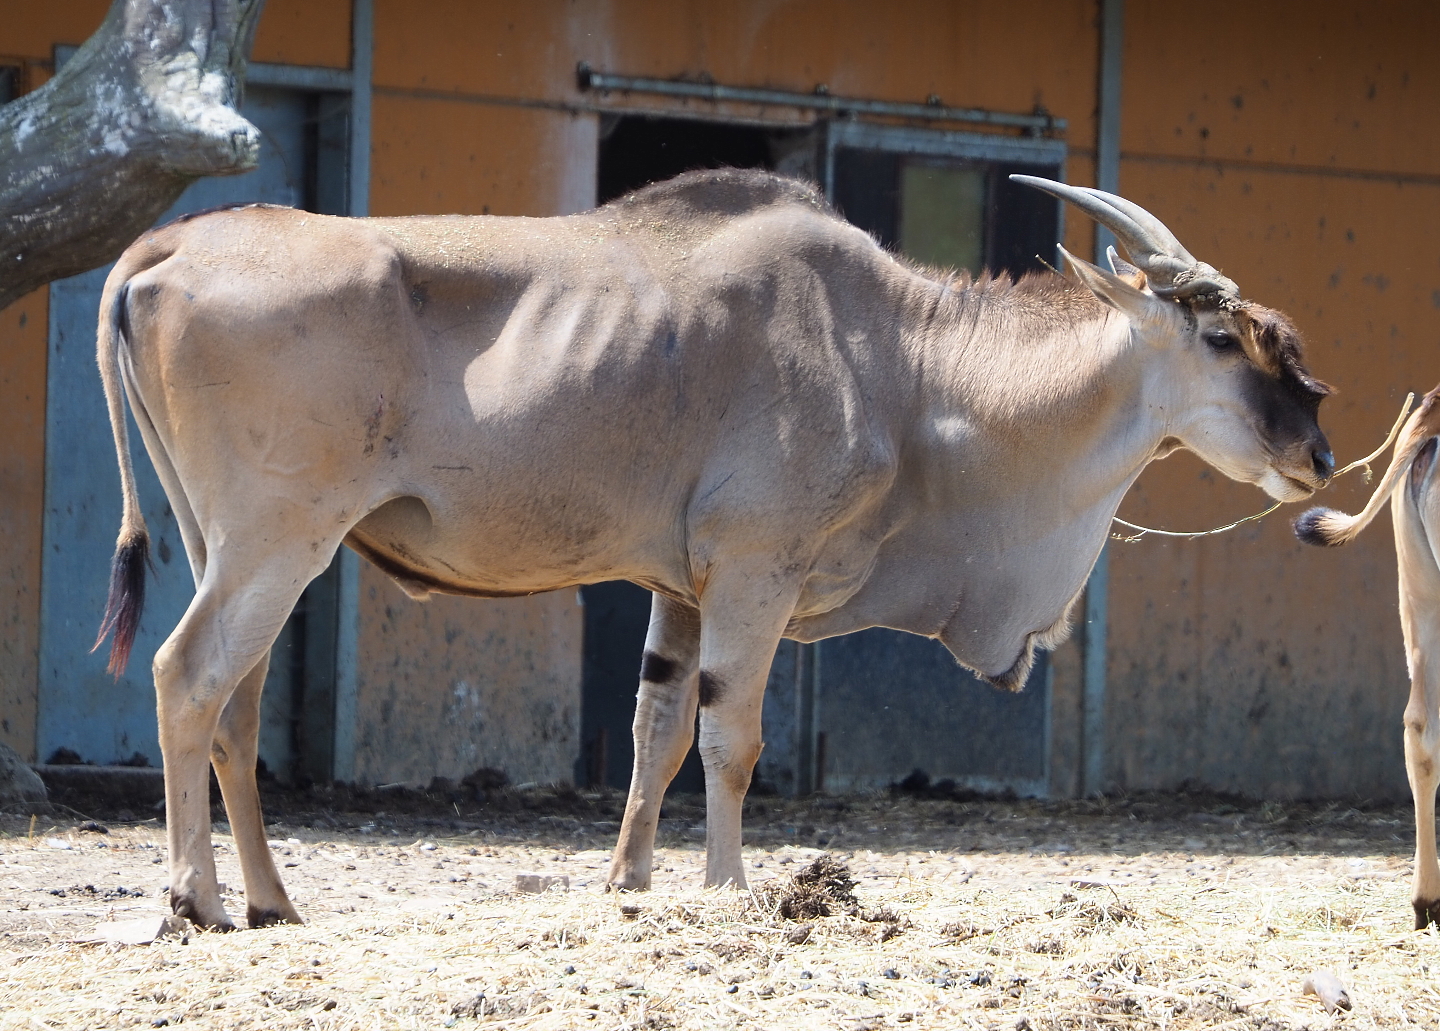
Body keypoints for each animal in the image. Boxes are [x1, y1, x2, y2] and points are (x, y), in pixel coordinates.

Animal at [92, 170, 1333, 929]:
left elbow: (657, 730)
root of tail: (165, 242)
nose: (1318, 451)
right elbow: (732, 737)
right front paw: (731, 884)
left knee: (234, 705)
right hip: (274, 542)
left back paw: (271, 899)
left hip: (234, 545)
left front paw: (630, 881)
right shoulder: (752, 574)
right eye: (1222, 337)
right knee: (185, 675)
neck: (899, 357)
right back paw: (196, 899)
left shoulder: (676, 592)